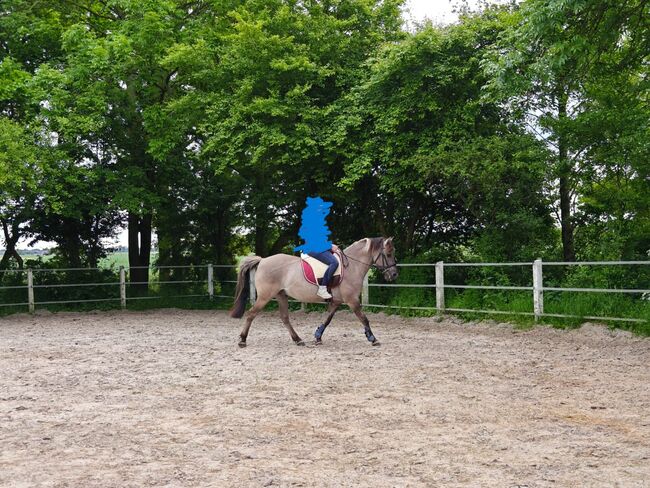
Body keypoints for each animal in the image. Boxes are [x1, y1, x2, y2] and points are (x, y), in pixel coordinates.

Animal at [230, 236, 398, 346]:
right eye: (388, 254)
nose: (394, 274)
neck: (352, 266)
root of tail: (263, 260)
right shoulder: (352, 300)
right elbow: (364, 318)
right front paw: (373, 338)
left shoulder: (337, 301)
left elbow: (327, 319)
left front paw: (318, 336)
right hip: (265, 296)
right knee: (251, 314)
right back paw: (242, 340)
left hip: (281, 295)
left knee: (284, 318)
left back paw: (298, 340)